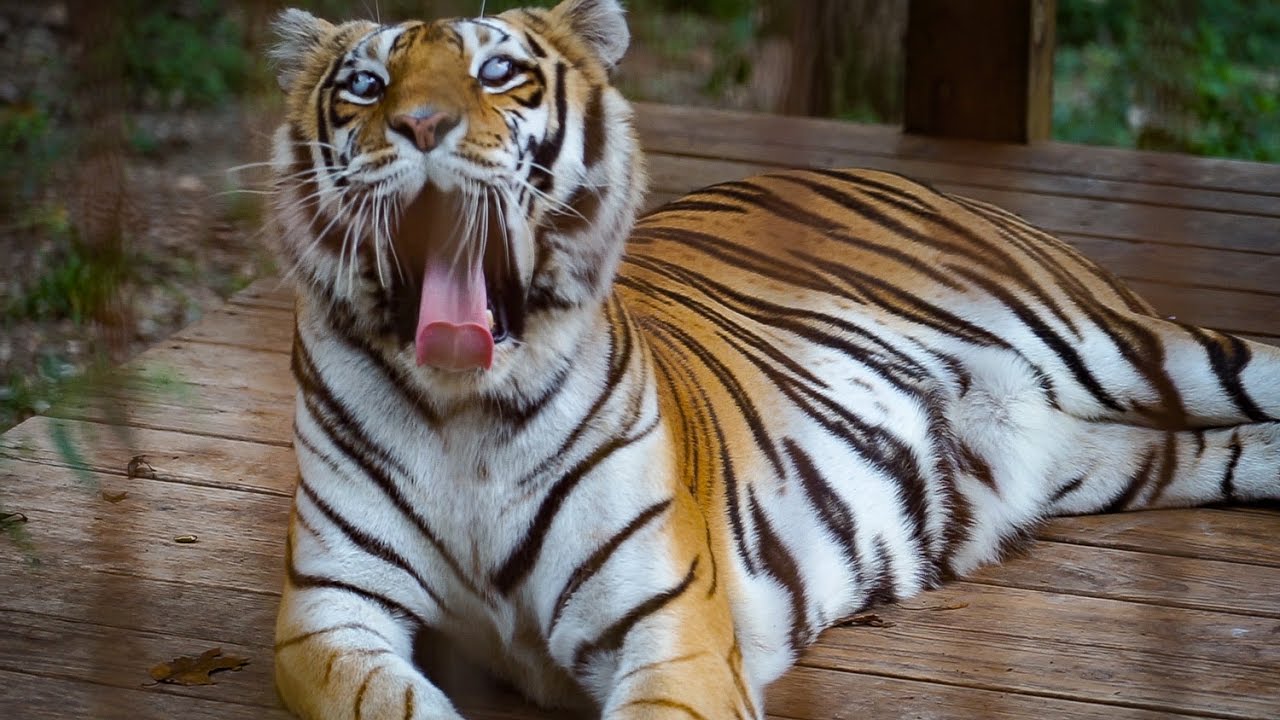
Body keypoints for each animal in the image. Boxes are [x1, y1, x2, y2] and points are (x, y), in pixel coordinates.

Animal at [264, 1, 1280, 718]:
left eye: (498, 72)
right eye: (365, 85)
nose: (421, 125)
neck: (462, 410)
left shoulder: (671, 628)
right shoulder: (327, 614)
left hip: (1124, 345)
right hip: (1106, 458)